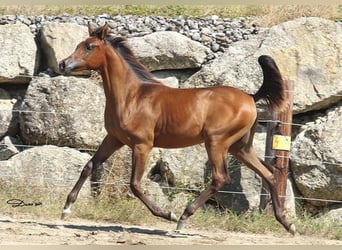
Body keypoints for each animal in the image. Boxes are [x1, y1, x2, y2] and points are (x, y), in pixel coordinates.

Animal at [58, 22, 294, 235]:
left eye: (89, 46)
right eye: (79, 44)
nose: (62, 64)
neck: (132, 97)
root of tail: (251, 97)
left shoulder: (142, 145)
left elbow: (135, 184)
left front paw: (167, 214)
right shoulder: (113, 139)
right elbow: (89, 166)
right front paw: (66, 209)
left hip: (216, 142)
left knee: (221, 177)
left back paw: (182, 218)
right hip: (240, 147)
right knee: (270, 174)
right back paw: (286, 223)